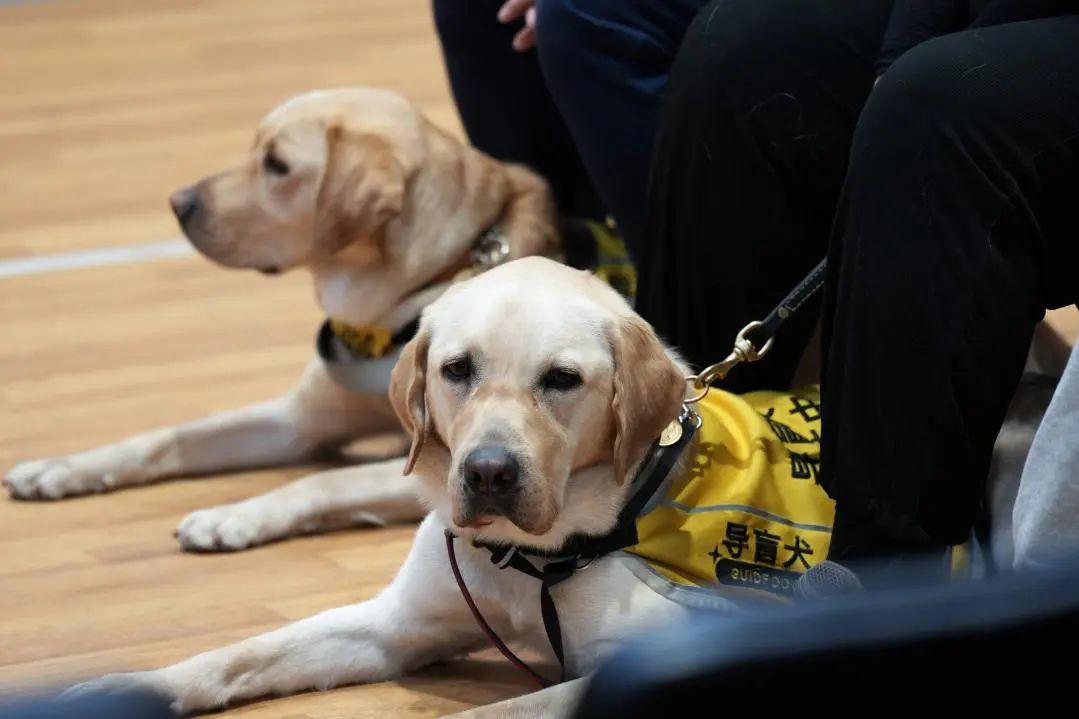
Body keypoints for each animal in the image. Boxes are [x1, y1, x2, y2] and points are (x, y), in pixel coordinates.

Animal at [2, 87, 638, 548]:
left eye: (277, 165)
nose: (178, 203)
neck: (401, 300)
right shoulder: (299, 419)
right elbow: (170, 437)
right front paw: (64, 466)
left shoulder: (430, 465)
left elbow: (326, 478)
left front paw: (234, 514)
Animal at [73, 258, 850, 716]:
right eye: (456, 369)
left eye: (562, 378)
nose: (488, 472)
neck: (531, 557)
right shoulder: (398, 621)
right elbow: (245, 652)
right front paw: (130, 688)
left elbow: (498, 711)